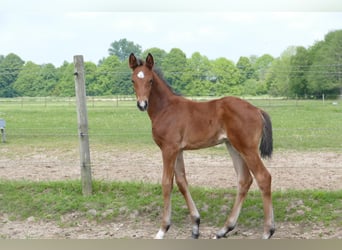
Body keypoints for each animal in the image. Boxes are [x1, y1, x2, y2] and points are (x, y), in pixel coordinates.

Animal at [128, 53, 276, 240]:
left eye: (150, 80)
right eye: (133, 80)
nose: (142, 104)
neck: (166, 109)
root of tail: (257, 109)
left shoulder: (168, 149)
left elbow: (167, 183)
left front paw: (162, 229)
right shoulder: (178, 150)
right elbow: (182, 182)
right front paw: (195, 226)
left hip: (247, 148)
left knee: (263, 177)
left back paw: (267, 231)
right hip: (233, 146)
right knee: (244, 180)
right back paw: (224, 229)